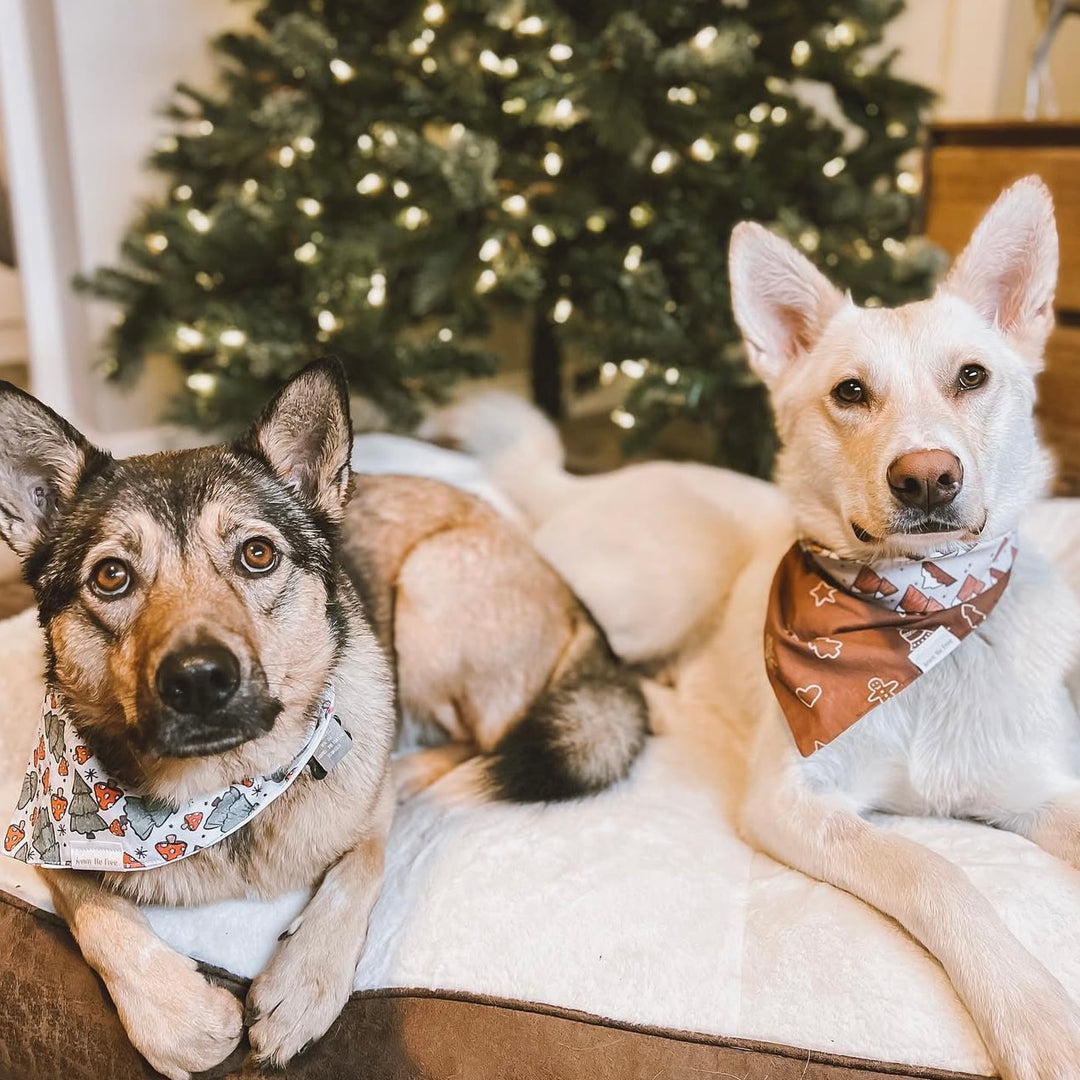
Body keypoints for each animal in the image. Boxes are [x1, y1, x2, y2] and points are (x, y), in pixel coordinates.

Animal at [0, 358, 643, 1075]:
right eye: (111, 575)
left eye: (257, 555)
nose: (199, 681)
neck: (221, 792)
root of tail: (568, 593)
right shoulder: (35, 836)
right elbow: (92, 908)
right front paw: (176, 1013)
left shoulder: (365, 816)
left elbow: (359, 870)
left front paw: (304, 985)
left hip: (429, 591)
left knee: (484, 736)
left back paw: (412, 771)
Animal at [712, 179, 1080, 1080]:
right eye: (850, 392)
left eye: (972, 377)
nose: (927, 478)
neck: (920, 625)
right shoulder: (793, 802)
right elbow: (933, 867)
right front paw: (1035, 1016)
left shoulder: (1036, 788)